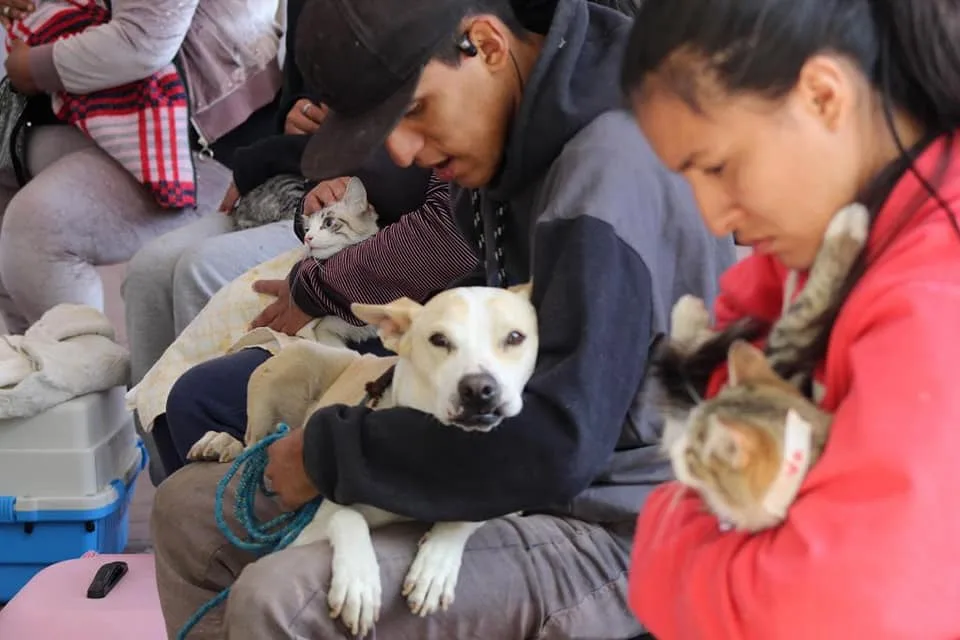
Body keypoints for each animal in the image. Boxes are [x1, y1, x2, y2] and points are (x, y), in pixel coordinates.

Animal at [184, 286, 536, 640]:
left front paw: (435, 567)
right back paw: (220, 442)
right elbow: (347, 516)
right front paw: (359, 583)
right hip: (296, 364)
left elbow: (470, 515)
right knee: (253, 441)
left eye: (515, 338)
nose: (480, 390)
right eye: (438, 340)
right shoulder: (306, 531)